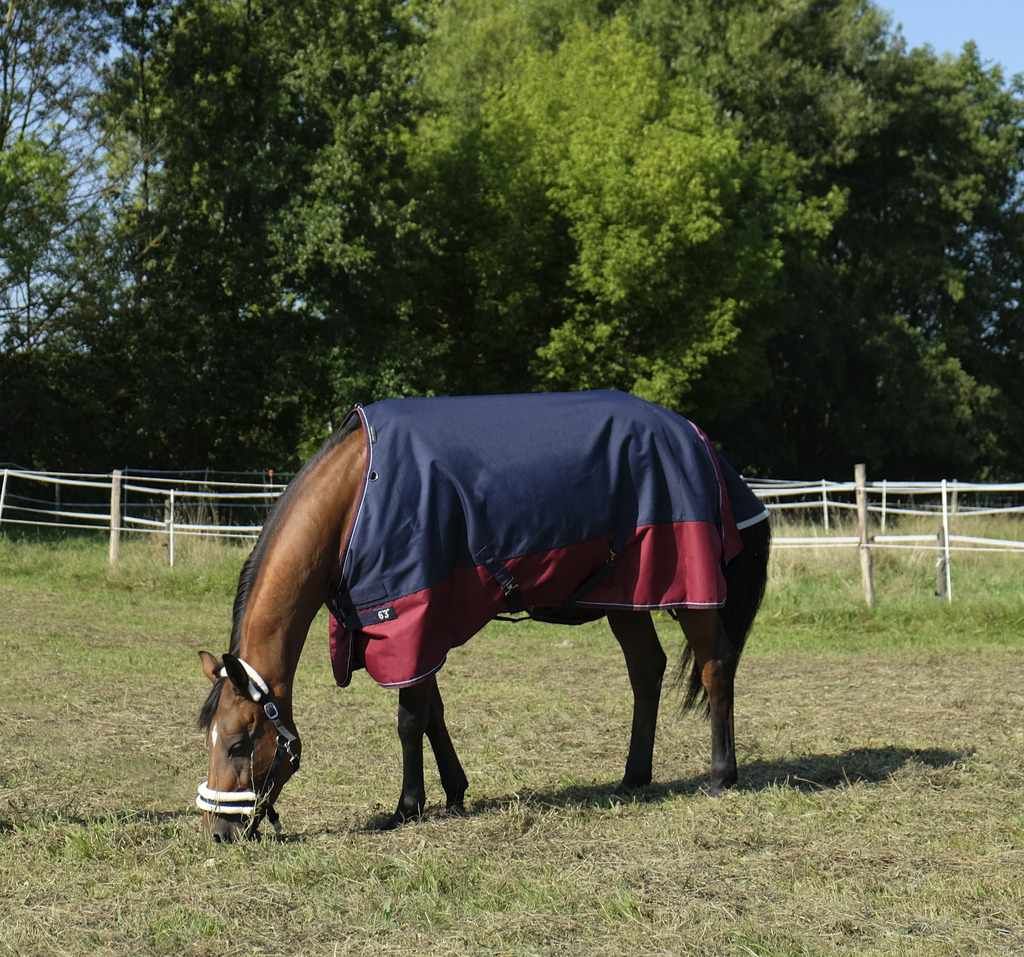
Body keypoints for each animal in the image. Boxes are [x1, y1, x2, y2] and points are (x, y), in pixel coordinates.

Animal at [196, 391, 771, 842]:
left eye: (241, 742)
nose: (221, 831)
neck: (356, 497)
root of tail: (699, 440)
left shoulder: (411, 623)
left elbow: (409, 720)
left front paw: (407, 807)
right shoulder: (415, 633)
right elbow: (432, 712)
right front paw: (453, 791)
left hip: (691, 590)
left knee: (715, 666)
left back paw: (721, 774)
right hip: (625, 596)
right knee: (646, 670)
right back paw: (634, 775)